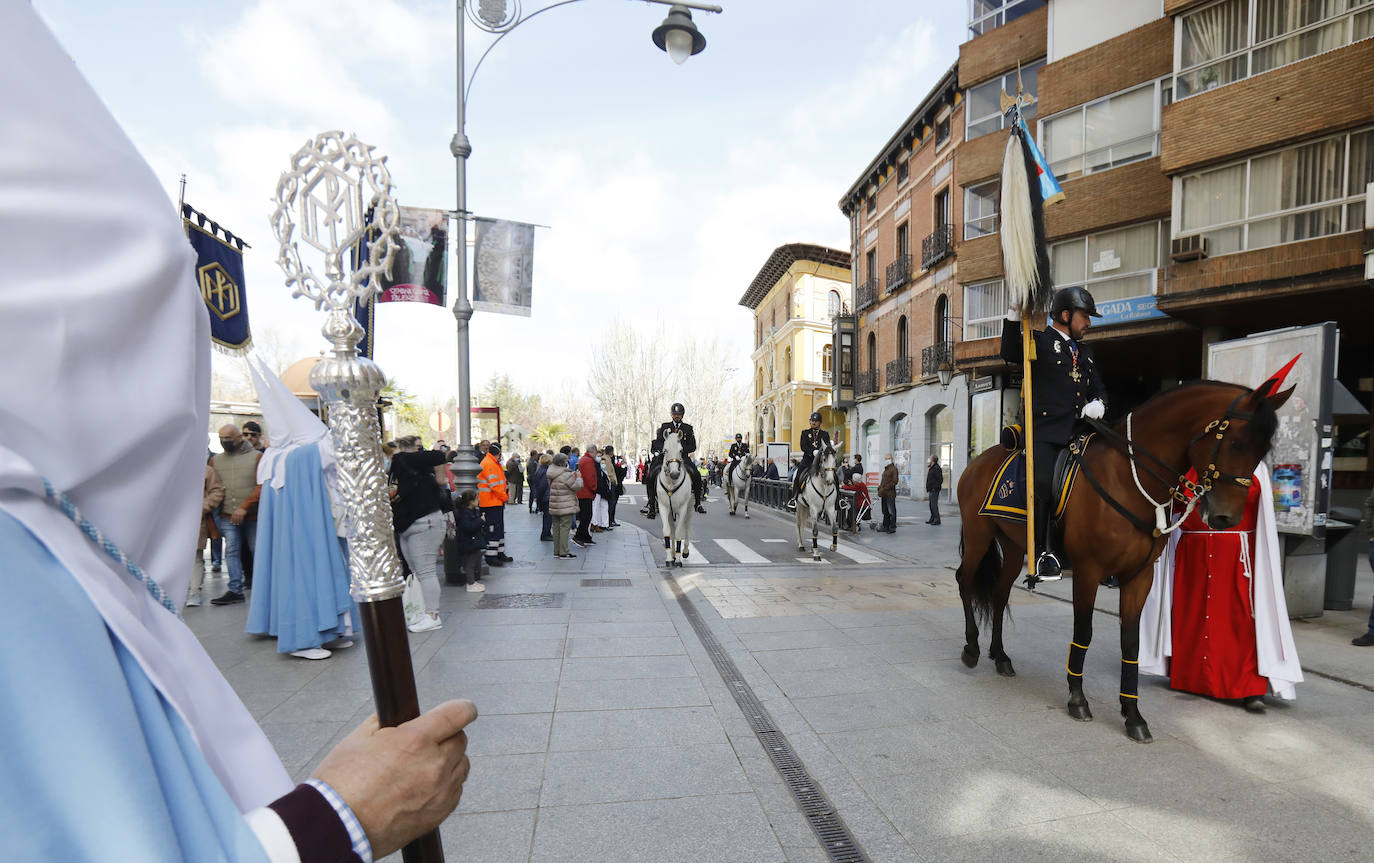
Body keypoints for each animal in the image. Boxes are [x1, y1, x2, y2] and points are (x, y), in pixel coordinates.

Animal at [656, 431, 697, 566]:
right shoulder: (663, 508)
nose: (674, 474)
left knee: (687, 526)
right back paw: (674, 553)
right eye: (665, 450)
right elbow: (667, 531)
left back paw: (684, 551)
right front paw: (669, 558)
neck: (671, 483)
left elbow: (680, 532)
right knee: (673, 529)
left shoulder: (683, 508)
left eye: (681, 450)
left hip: (690, 508)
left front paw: (678, 560)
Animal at [956, 379, 1286, 742]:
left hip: (1014, 546)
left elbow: (1131, 644)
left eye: (1263, 451)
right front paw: (1077, 698)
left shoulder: (1140, 576)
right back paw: (971, 647)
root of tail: (978, 461)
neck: (1128, 477)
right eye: (1237, 444)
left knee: (1000, 594)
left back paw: (1000, 656)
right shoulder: (1088, 570)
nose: (1226, 517)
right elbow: (1084, 632)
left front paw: (1133, 715)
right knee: (965, 581)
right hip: (978, 535)